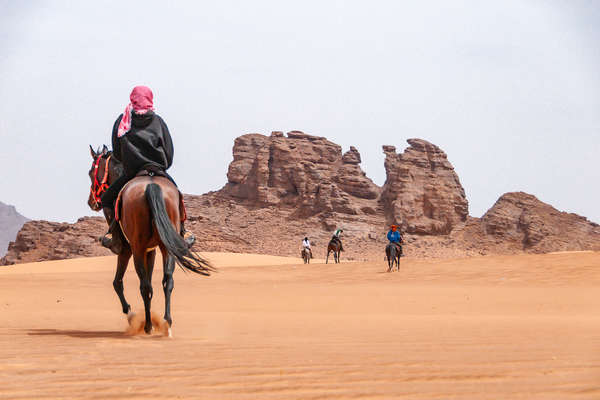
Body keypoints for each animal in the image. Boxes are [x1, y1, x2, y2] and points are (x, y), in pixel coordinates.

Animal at [87, 145, 213, 336]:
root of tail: (151, 185)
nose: (92, 202)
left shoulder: (126, 250)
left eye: (90, 173)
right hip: (166, 247)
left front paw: (131, 315)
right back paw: (166, 323)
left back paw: (147, 326)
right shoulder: (151, 250)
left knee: (144, 286)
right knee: (167, 281)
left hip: (137, 249)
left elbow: (117, 283)